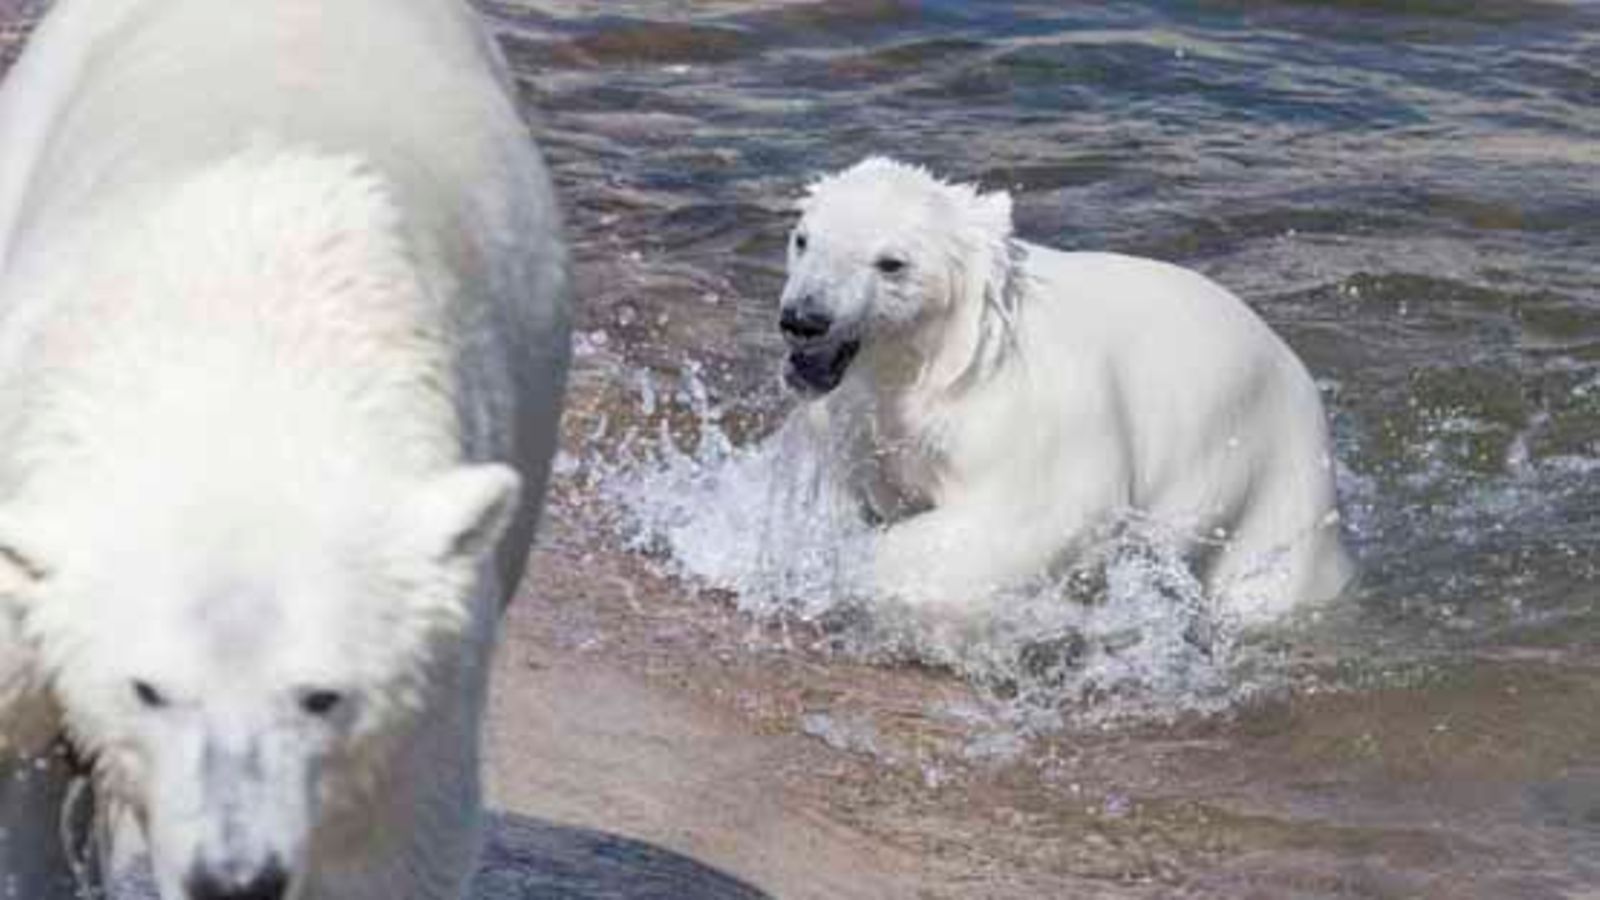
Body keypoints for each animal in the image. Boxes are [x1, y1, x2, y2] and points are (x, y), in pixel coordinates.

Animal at [780, 159, 1356, 624]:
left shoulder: (1025, 416)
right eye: (804, 238)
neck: (952, 354)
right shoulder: (869, 417)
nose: (804, 319)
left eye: (891, 262)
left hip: (1274, 486)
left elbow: (1037, 514)